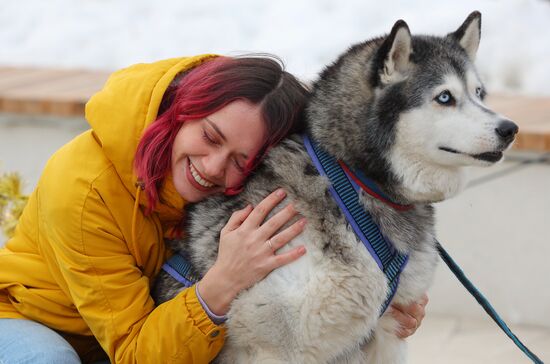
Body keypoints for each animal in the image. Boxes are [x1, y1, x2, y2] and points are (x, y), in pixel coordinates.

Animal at [153, 12, 520, 364]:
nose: (510, 128)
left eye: (479, 94)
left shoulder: (387, 333)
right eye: (444, 97)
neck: (353, 181)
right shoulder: (275, 346)